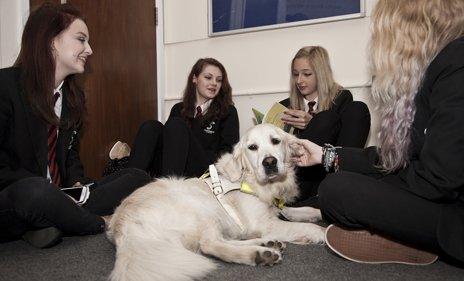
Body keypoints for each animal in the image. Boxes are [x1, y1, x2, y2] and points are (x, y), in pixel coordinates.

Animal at [107, 123, 324, 278]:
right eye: (252, 147)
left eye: (276, 140)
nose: (269, 162)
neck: (250, 180)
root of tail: (123, 229)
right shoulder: (263, 222)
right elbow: (309, 227)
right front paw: (323, 233)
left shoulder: (275, 209)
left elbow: (303, 211)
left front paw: (318, 213)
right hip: (201, 207)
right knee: (211, 245)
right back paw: (260, 254)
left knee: (222, 240)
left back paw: (268, 244)